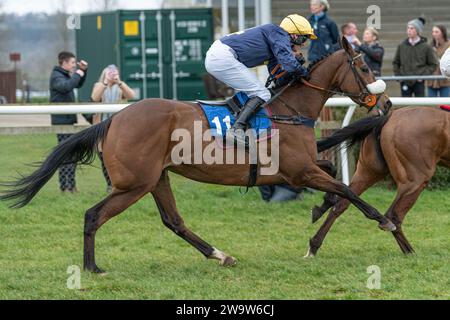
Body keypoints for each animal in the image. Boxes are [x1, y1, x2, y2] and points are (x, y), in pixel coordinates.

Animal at [0, 37, 394, 272]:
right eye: (364, 67)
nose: (387, 103)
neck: (288, 109)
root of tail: (113, 120)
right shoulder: (298, 171)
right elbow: (347, 190)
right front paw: (383, 220)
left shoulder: (301, 169)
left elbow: (335, 179)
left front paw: (318, 209)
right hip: (134, 184)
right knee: (93, 215)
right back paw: (92, 267)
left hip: (156, 178)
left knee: (173, 221)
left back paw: (220, 254)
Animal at [306, 106, 450, 256]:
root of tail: (388, 117)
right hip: (415, 178)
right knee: (393, 215)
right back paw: (410, 252)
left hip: (369, 171)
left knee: (341, 203)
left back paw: (314, 243)